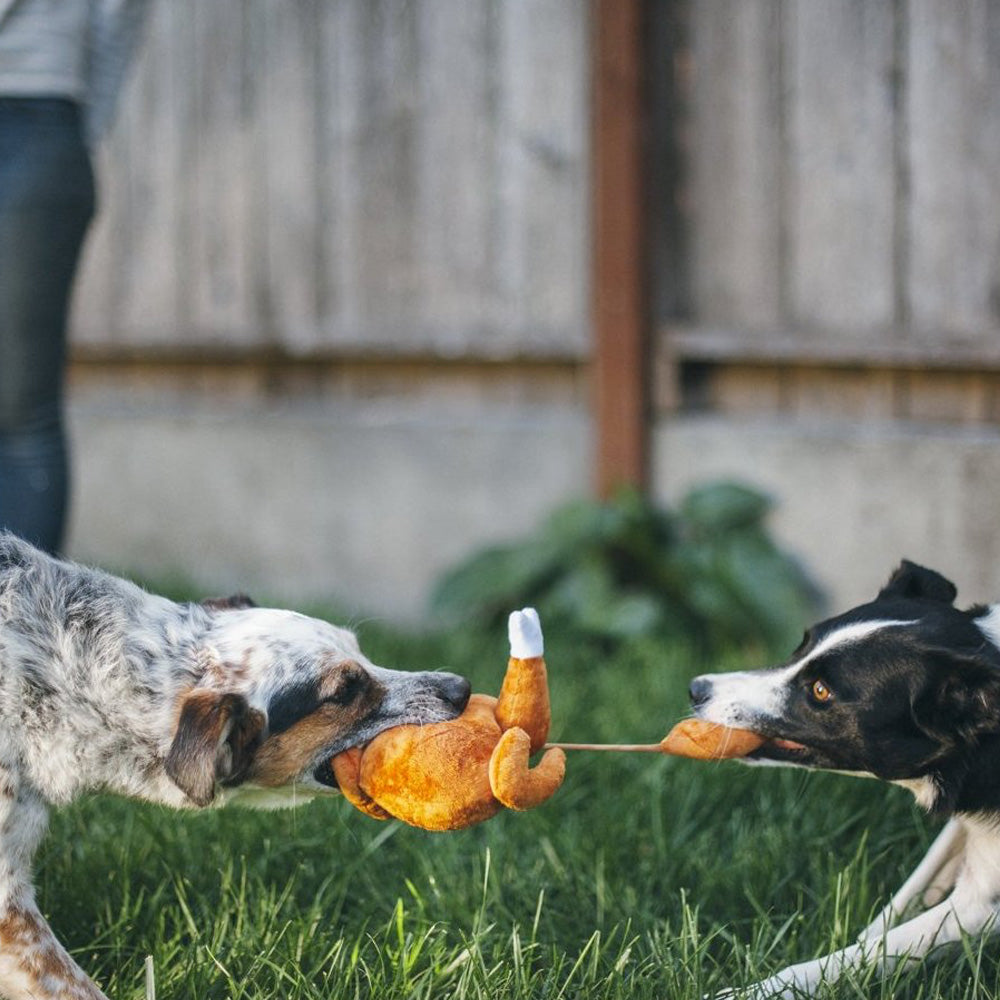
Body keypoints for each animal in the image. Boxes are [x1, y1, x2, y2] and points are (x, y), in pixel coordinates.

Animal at [692, 564, 1000, 1000]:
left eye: (820, 691)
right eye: (800, 647)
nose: (696, 689)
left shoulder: (982, 905)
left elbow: (863, 954)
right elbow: (900, 904)